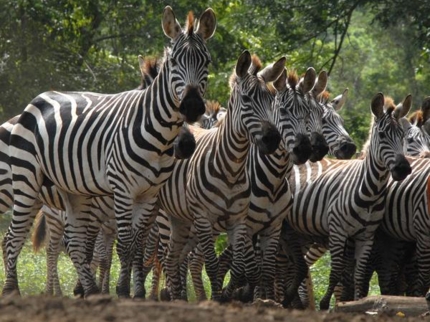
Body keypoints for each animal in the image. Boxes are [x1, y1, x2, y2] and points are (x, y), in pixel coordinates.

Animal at [2, 5, 217, 300]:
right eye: (174, 62)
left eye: (206, 61)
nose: (193, 106)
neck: (158, 135)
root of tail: (39, 98)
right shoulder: (122, 190)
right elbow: (124, 245)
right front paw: (124, 291)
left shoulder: (149, 196)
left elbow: (136, 246)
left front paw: (133, 293)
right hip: (24, 180)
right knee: (15, 237)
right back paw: (12, 291)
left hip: (66, 191)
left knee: (69, 242)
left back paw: (90, 290)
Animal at [286, 93, 410, 310]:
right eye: (382, 136)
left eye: (402, 136)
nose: (403, 169)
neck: (370, 192)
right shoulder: (338, 232)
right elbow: (336, 271)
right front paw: (325, 305)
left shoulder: (366, 237)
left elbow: (359, 276)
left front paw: (360, 301)